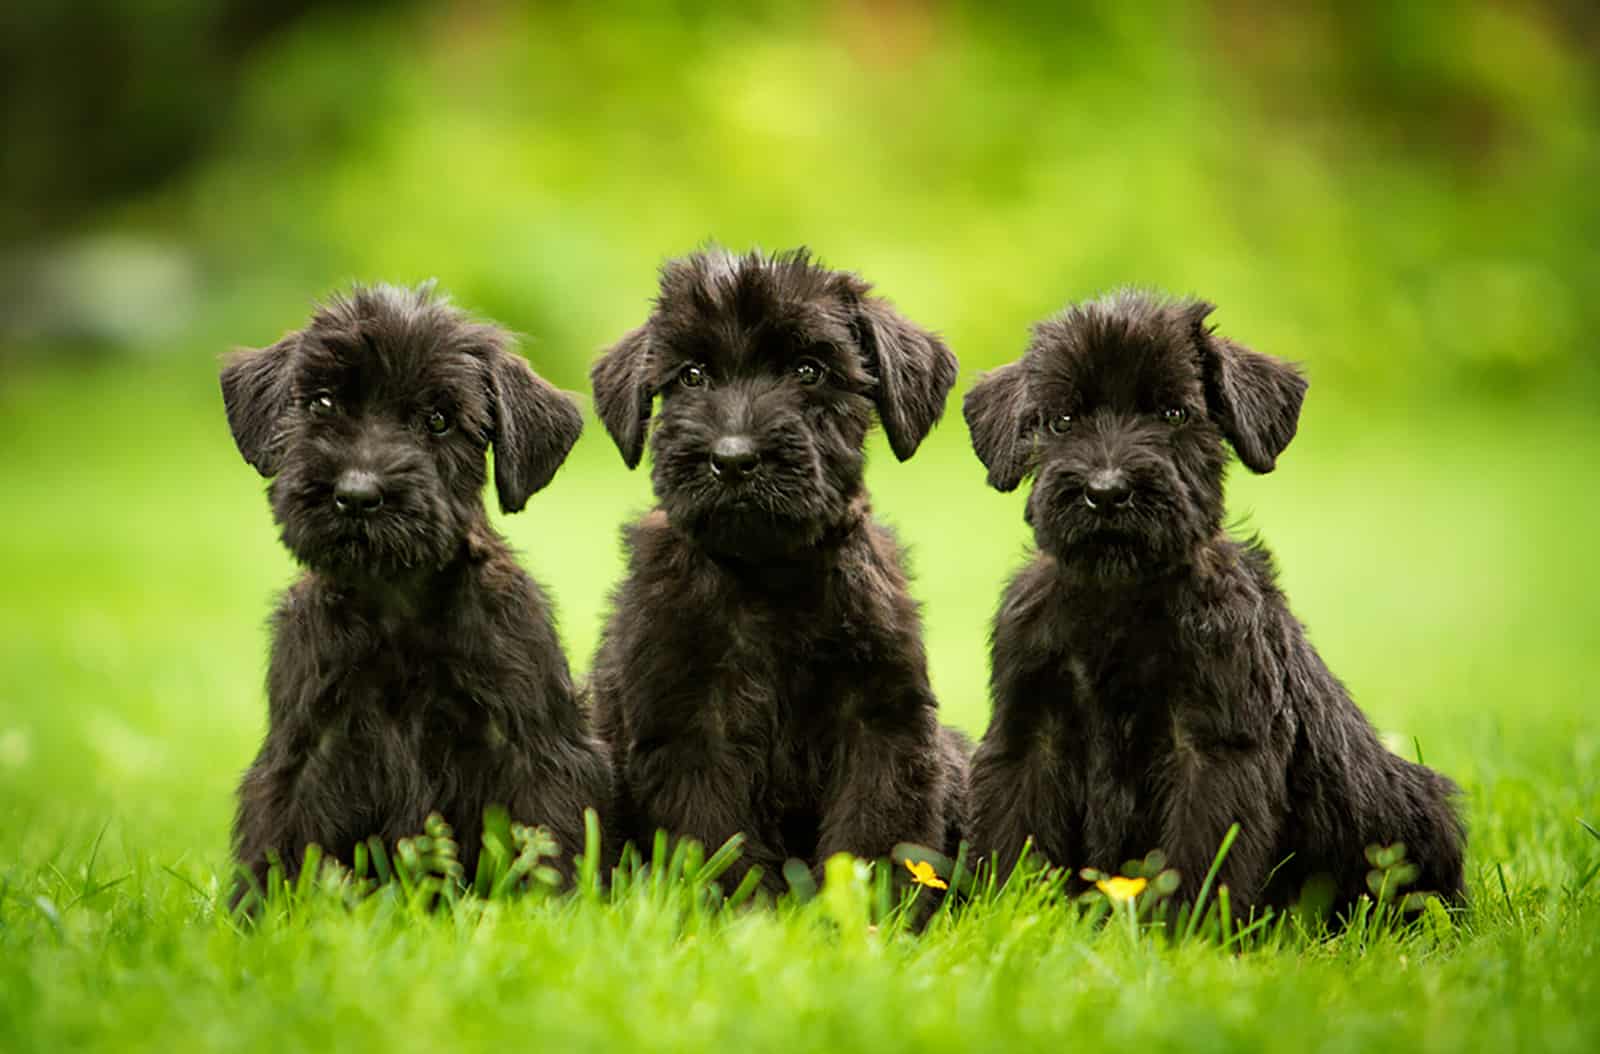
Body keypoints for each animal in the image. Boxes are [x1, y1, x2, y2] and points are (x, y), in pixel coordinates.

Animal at [216, 283, 608, 902]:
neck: (396, 604)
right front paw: (260, 913)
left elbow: (548, 835)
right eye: (322, 403)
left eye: (439, 420)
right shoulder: (305, 749)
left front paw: (553, 909)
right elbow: (277, 841)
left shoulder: (533, 746)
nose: (356, 495)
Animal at [585, 249, 960, 902]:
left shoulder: (883, 720)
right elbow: (717, 842)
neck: (770, 577)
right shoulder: (691, 729)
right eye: (692, 376)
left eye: (809, 370)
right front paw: (744, 918)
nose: (733, 460)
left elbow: (874, 832)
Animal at [953, 291, 1465, 914]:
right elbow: (1009, 840)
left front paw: (1184, 929)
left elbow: (1199, 856)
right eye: (1062, 420)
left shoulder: (1213, 747)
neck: (1117, 597)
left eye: (1174, 415)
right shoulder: (1029, 735)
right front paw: (1000, 915)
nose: (1106, 492)